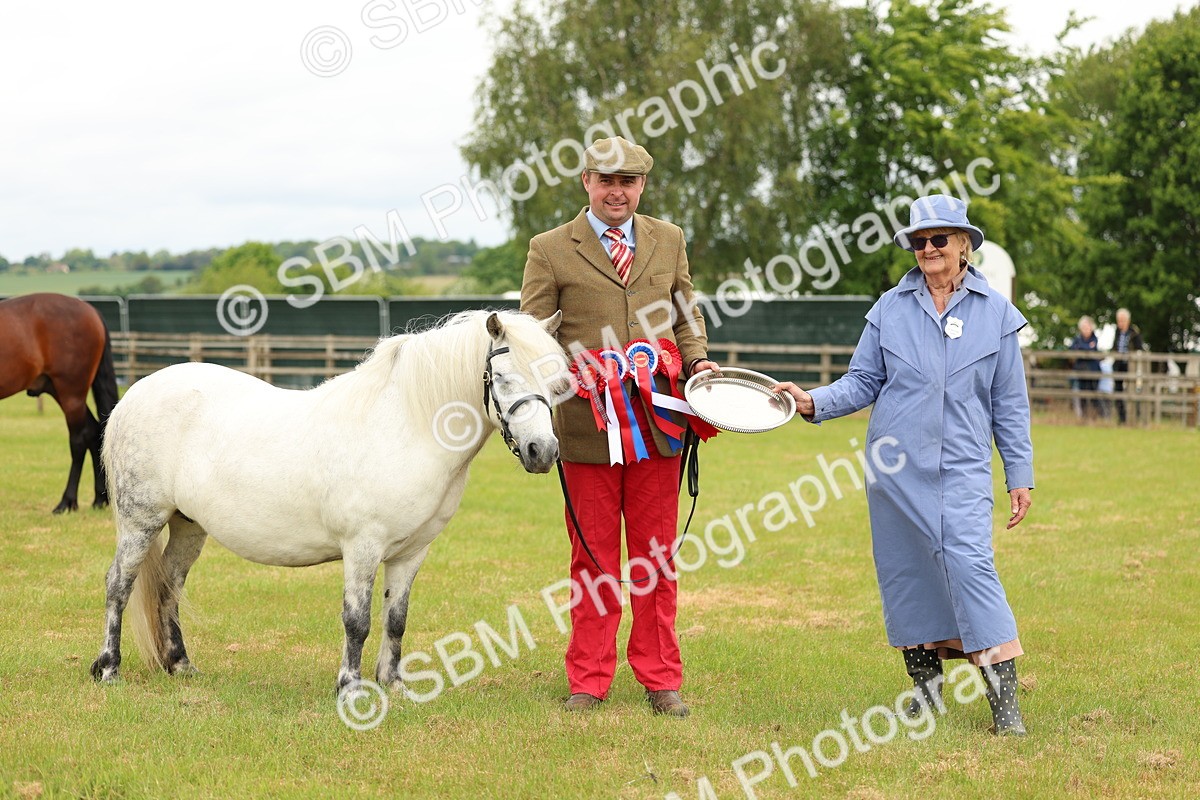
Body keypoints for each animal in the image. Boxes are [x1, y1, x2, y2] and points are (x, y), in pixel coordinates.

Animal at [0, 293, 118, 513]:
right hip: (62, 392)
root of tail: (91, 311)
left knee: (79, 440)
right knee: (94, 433)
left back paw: (67, 502)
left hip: (71, 394)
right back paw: (98, 499)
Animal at [91, 309, 566, 696]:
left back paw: (180, 665)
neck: (406, 428)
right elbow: (357, 620)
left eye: (555, 382)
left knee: (169, 583)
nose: (542, 452)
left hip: (189, 525)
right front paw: (351, 687)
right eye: (502, 378)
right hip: (141, 521)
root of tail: (136, 394)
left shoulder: (411, 552)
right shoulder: (362, 547)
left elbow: (396, 618)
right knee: (119, 584)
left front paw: (392, 683)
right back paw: (108, 668)